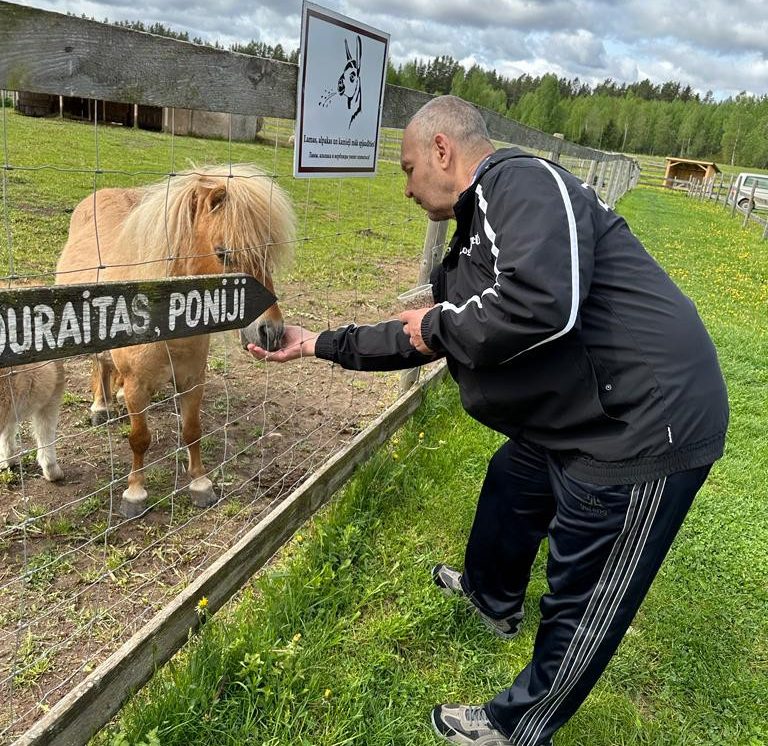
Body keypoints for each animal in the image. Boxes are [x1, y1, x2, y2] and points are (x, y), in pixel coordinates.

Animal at [55, 164, 295, 517]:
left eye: (267, 253)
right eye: (223, 253)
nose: (272, 333)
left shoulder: (193, 380)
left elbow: (192, 431)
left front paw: (200, 484)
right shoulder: (139, 384)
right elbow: (140, 438)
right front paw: (135, 494)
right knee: (101, 364)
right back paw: (101, 407)